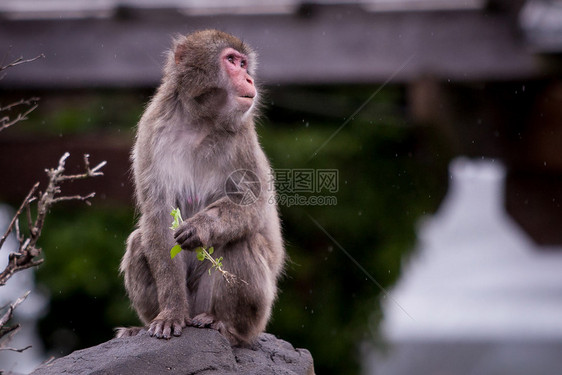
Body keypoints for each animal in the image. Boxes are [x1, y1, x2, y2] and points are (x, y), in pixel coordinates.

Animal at [117, 29, 284, 346]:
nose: (249, 79)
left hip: (255, 313)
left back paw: (227, 326)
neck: (200, 121)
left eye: (244, 63)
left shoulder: (243, 137)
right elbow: (159, 219)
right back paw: (140, 327)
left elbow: (254, 205)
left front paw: (202, 226)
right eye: (232, 61)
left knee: (243, 240)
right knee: (138, 241)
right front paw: (171, 313)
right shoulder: (151, 130)